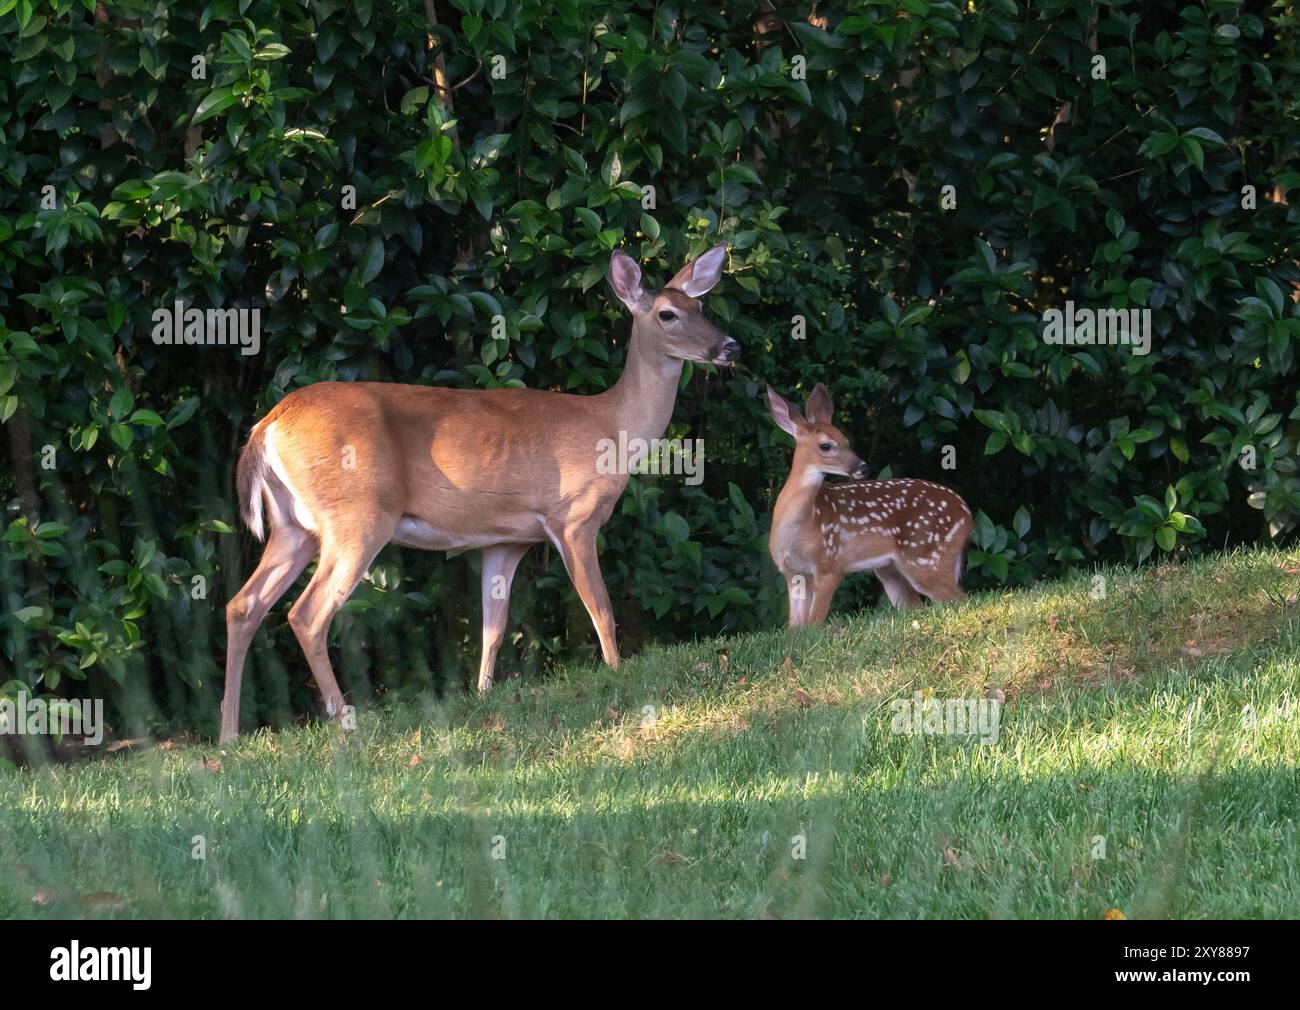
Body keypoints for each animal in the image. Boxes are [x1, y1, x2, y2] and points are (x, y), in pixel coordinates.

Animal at [220, 244, 739, 742]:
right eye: (667, 314)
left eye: (700, 305)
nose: (729, 346)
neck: (612, 425)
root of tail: (268, 425)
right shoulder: (574, 517)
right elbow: (600, 606)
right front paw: (615, 673)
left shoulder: (505, 540)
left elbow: (494, 627)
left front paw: (485, 694)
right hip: (358, 515)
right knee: (307, 614)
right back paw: (345, 722)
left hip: (294, 526)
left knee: (243, 605)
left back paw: (229, 736)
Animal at [764, 384, 971, 626]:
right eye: (826, 446)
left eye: (847, 440)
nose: (862, 467)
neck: (805, 523)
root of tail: (966, 513)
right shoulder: (794, 574)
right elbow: (797, 628)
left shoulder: (830, 565)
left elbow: (815, 623)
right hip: (890, 569)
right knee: (919, 605)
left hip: (926, 558)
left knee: (959, 599)